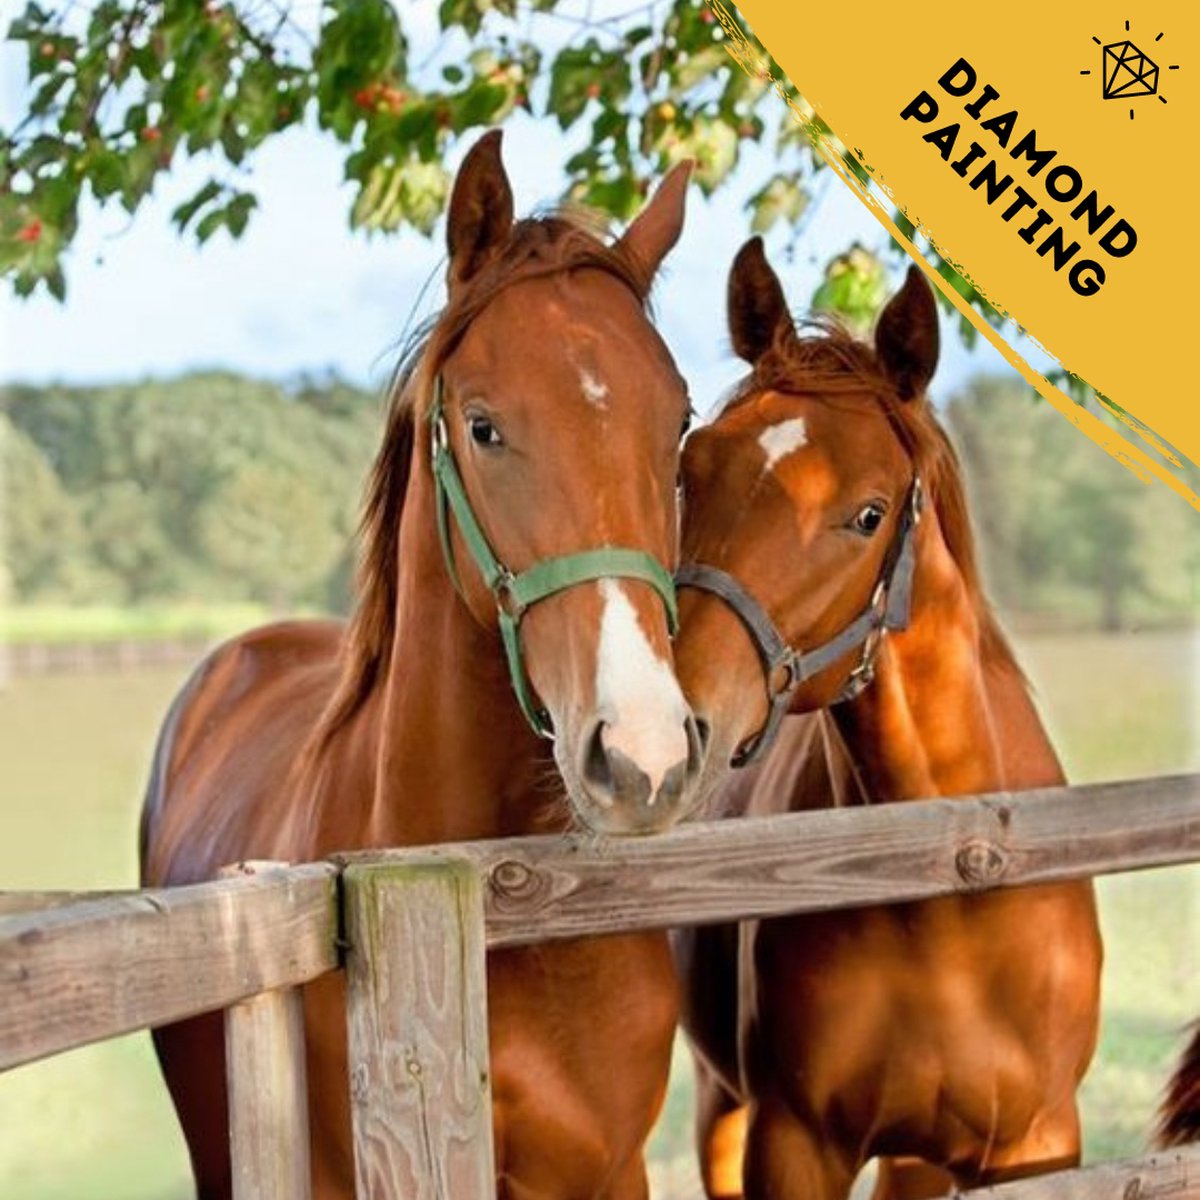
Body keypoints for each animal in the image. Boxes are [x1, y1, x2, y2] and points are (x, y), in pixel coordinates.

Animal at [670, 237, 1103, 1199]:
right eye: (689, 472)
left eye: (867, 514)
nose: (668, 725)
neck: (953, 889)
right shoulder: (793, 1145)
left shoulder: (1036, 1142)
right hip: (722, 1109)